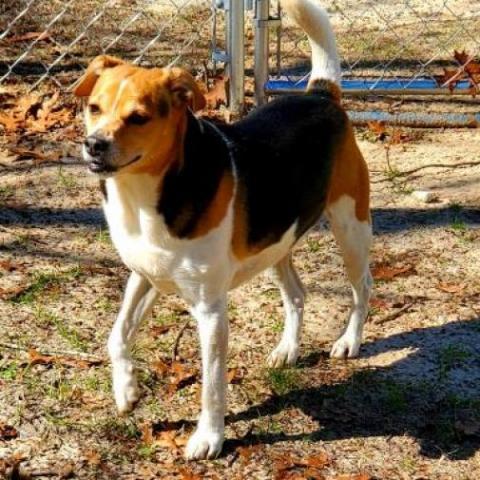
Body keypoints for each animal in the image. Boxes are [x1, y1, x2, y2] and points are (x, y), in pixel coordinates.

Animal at [77, 0, 374, 460]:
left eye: (138, 117)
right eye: (94, 107)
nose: (94, 145)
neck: (143, 199)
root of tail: (321, 95)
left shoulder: (210, 312)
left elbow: (212, 385)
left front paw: (209, 438)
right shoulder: (143, 277)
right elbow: (117, 336)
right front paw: (127, 392)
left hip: (350, 229)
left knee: (362, 288)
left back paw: (349, 341)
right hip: (276, 243)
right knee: (297, 294)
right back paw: (288, 349)